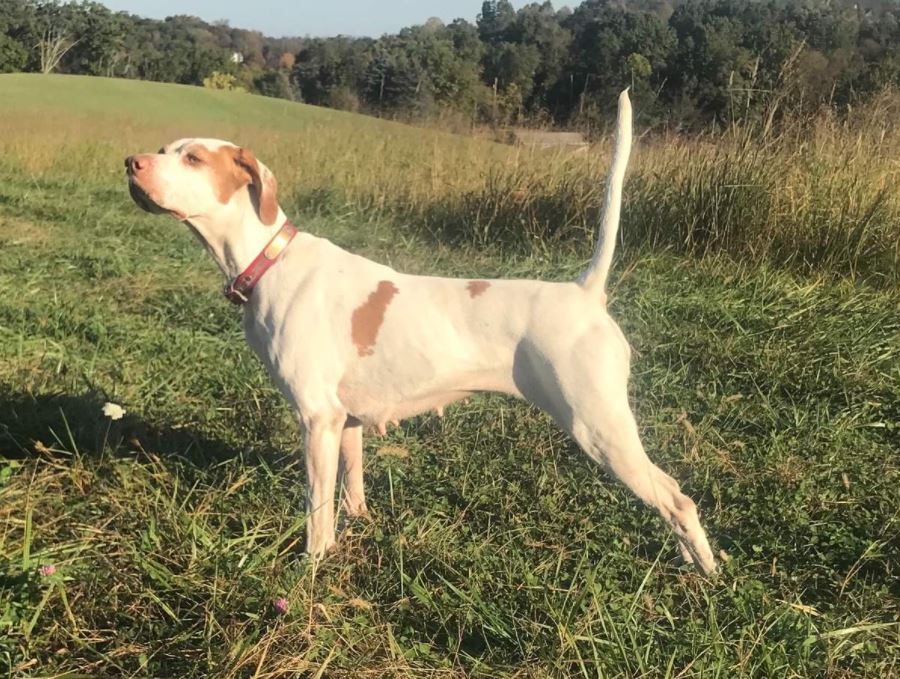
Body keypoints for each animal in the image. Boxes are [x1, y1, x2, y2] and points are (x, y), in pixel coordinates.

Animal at [126, 91, 716, 572]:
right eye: (163, 148)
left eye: (194, 157)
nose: (130, 163)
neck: (269, 260)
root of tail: (584, 292)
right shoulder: (346, 421)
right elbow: (352, 490)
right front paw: (360, 527)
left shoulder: (316, 420)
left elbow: (317, 512)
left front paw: (312, 566)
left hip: (599, 428)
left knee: (677, 498)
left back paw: (706, 574)